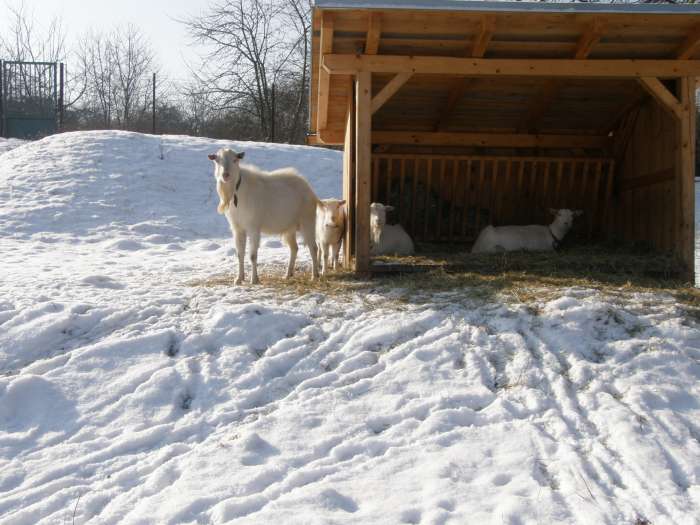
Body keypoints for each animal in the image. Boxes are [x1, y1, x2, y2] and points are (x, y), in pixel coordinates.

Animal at [206, 147, 318, 284]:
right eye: (217, 160)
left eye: (235, 160)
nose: (225, 175)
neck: (237, 191)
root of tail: (309, 190)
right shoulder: (237, 228)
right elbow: (240, 254)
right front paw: (239, 279)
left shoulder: (253, 227)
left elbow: (253, 255)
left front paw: (254, 279)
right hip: (289, 228)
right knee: (294, 248)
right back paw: (287, 274)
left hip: (307, 221)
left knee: (313, 247)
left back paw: (315, 275)